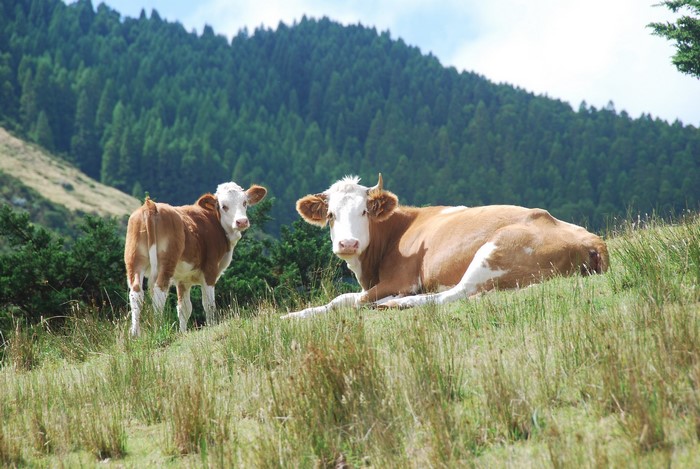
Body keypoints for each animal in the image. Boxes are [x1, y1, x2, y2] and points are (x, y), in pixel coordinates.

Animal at [124, 182, 267, 336]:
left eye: (244, 202)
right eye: (224, 206)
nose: (241, 221)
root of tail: (151, 206)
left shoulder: (183, 279)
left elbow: (184, 309)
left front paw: (182, 334)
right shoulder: (210, 270)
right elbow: (208, 304)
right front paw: (211, 326)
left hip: (134, 259)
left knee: (136, 293)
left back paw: (135, 334)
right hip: (167, 262)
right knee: (159, 292)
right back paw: (158, 329)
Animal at [282, 174, 608, 319]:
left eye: (364, 211)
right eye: (331, 215)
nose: (348, 243)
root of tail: (592, 239)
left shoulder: (402, 280)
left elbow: (345, 300)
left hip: (494, 250)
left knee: (456, 294)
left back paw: (395, 303)